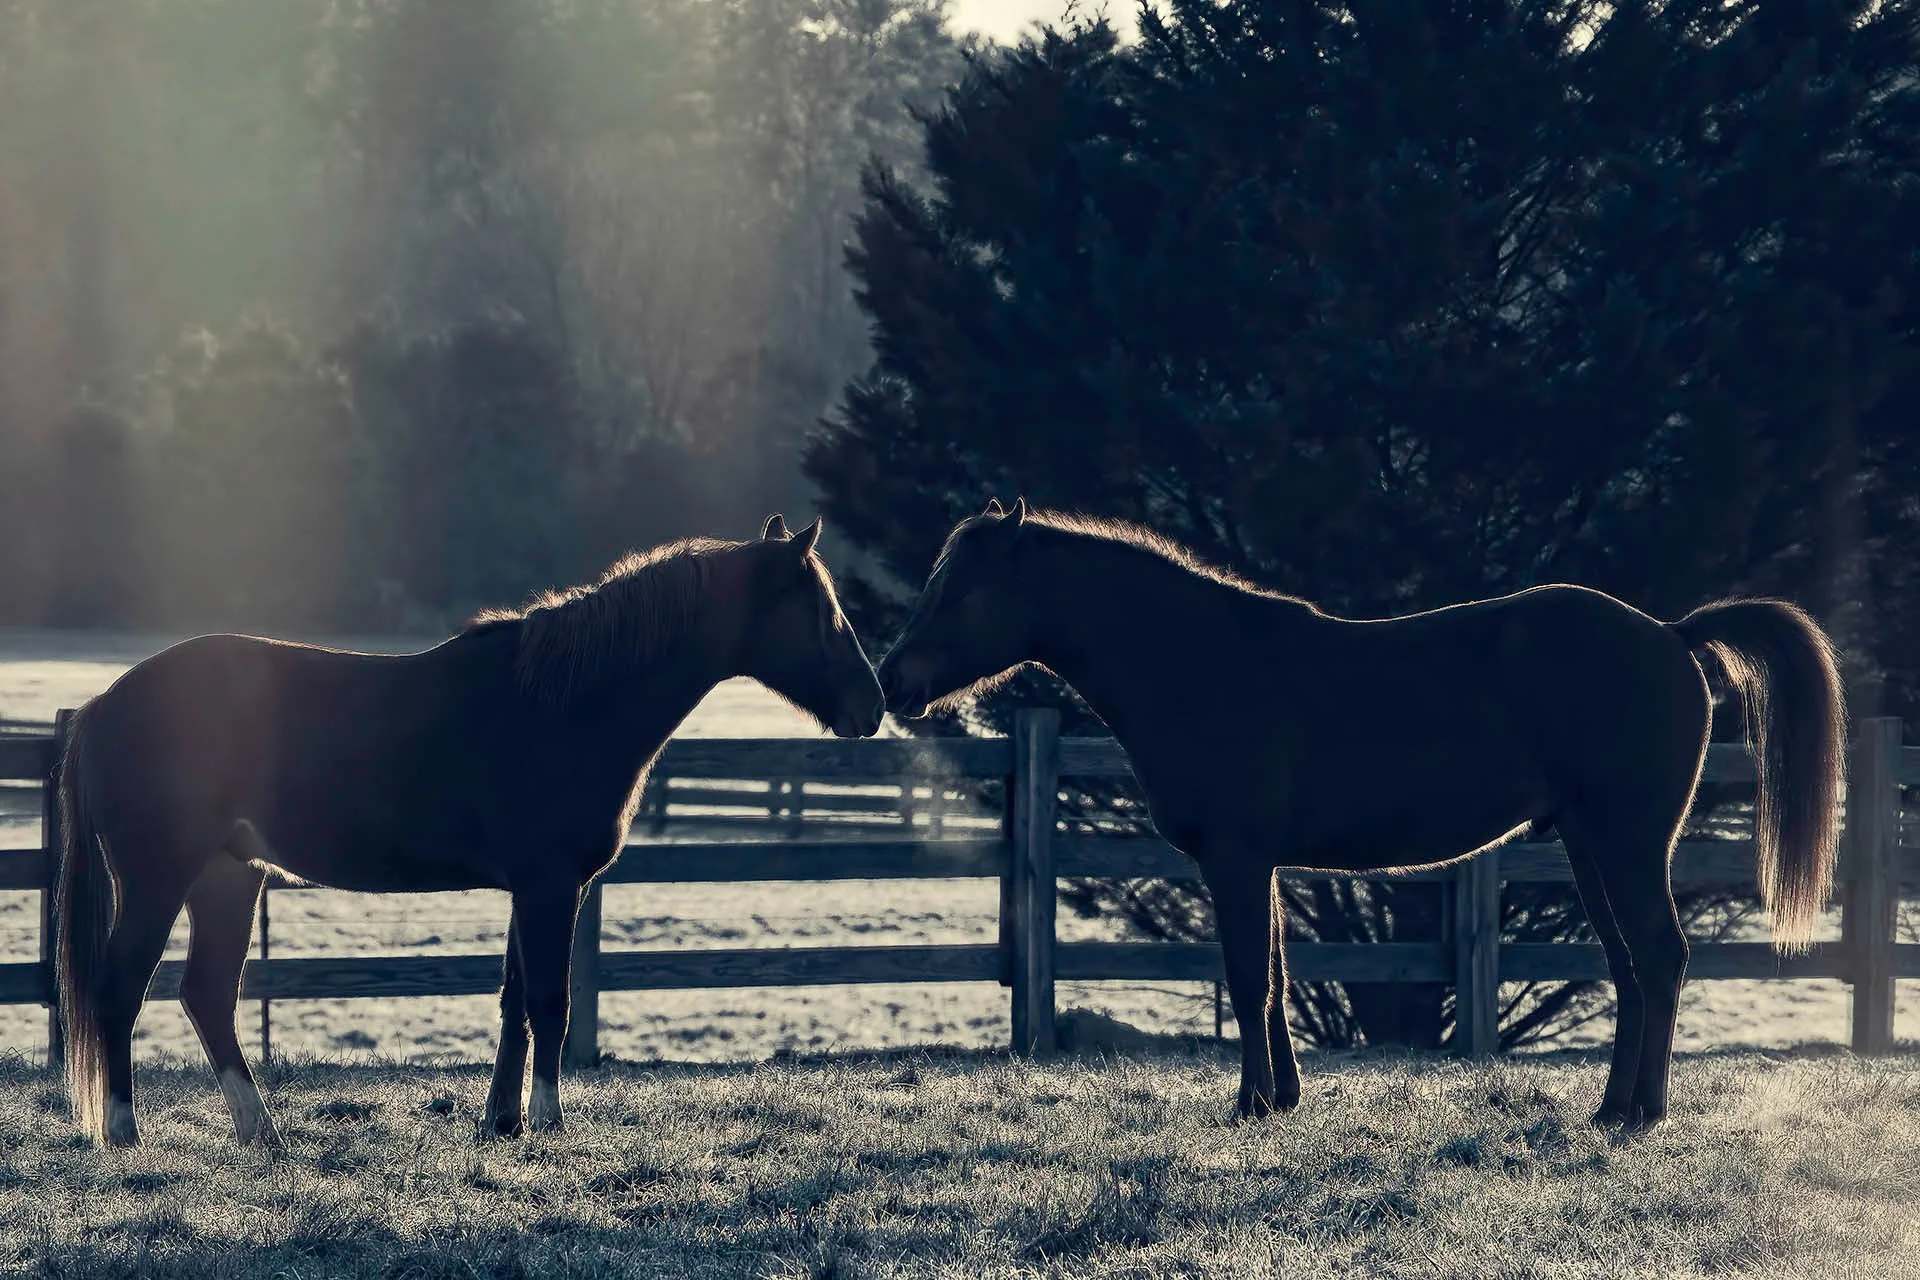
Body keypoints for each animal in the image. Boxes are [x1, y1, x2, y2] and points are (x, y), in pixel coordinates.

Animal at [55, 515, 885, 1148]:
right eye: (823, 611)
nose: (871, 706)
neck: (568, 705)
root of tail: (104, 703)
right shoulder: (552, 887)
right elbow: (550, 1001)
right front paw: (548, 1122)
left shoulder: (531, 889)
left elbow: (515, 1002)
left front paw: (501, 1122)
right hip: (160, 878)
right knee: (120, 989)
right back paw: (124, 1134)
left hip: (228, 877)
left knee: (206, 997)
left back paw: (263, 1133)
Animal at [875, 498, 1845, 1132]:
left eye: (959, 591)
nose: (890, 680)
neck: (1202, 662)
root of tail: (1673, 634)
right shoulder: (1256, 862)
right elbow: (1273, 973)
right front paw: (1280, 1099)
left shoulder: (1235, 859)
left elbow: (1250, 977)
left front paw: (1249, 1107)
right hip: (1589, 845)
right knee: (1632, 967)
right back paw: (1612, 1108)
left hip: (1630, 842)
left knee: (1662, 958)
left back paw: (1643, 1113)